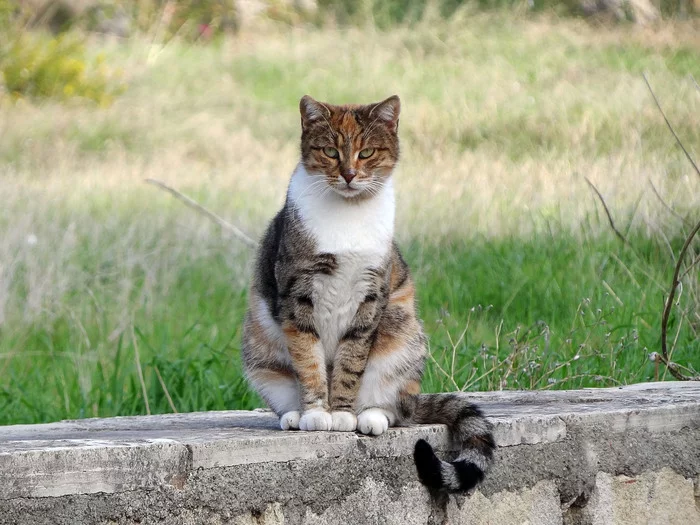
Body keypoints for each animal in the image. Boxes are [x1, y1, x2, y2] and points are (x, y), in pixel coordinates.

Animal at [243, 94, 494, 492]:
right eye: (330, 151)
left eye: (367, 152)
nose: (348, 174)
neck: (349, 216)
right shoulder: (297, 294)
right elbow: (309, 359)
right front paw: (318, 413)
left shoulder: (371, 295)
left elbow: (351, 360)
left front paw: (342, 414)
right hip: (260, 346)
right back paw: (294, 415)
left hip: (402, 332)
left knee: (397, 409)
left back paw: (371, 416)